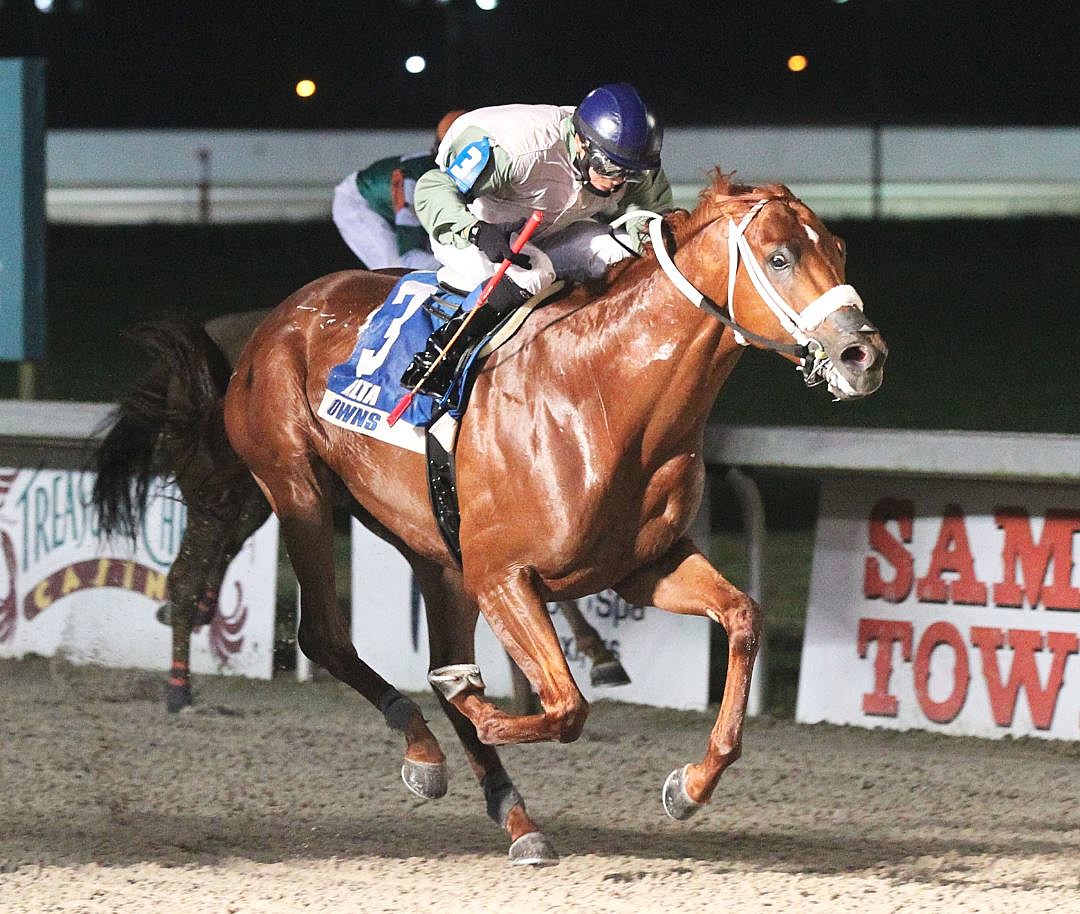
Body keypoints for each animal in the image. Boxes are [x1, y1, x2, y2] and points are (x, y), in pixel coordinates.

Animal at [212, 173, 885, 864]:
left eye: (838, 250)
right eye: (780, 258)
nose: (864, 355)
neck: (603, 393)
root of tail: (282, 316)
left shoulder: (643, 565)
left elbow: (743, 616)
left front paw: (690, 786)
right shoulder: (502, 575)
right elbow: (564, 705)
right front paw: (479, 704)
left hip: (435, 552)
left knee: (431, 647)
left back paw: (514, 816)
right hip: (298, 488)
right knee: (324, 634)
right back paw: (427, 749)